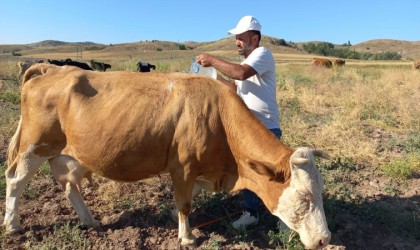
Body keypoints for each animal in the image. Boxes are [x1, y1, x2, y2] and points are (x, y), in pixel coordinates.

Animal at [3, 63, 332, 249]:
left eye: (321, 194)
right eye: (304, 198)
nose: (325, 240)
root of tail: (53, 69)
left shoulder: (196, 169)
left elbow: (189, 197)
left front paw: (174, 217)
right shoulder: (183, 167)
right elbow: (186, 202)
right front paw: (186, 237)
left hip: (68, 153)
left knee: (70, 186)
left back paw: (90, 221)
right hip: (35, 146)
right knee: (16, 181)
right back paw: (12, 224)